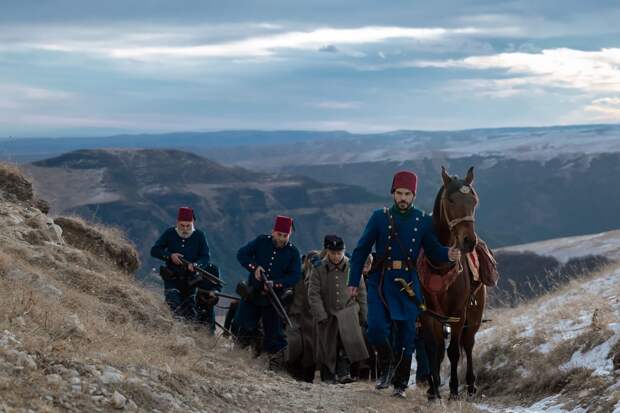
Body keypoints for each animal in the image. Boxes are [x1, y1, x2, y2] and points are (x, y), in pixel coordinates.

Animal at [418, 167, 486, 400]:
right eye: (450, 200)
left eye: (474, 200)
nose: (469, 241)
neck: (441, 266)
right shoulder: (428, 314)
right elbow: (433, 348)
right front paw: (434, 389)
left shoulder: (458, 313)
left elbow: (454, 351)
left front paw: (455, 389)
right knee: (440, 348)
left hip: (474, 313)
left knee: (468, 343)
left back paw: (471, 385)